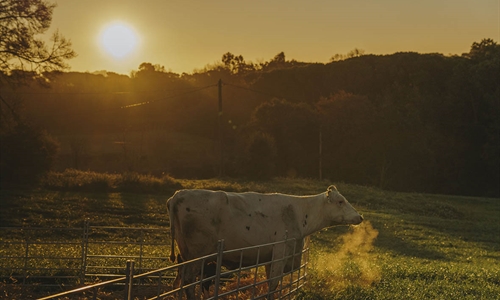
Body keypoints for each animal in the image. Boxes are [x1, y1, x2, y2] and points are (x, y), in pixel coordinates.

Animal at [169, 185, 364, 298]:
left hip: (185, 255)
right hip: (197, 255)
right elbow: (273, 284)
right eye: (340, 201)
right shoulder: (280, 252)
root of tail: (178, 195)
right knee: (188, 282)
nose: (360, 217)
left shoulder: (271, 257)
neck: (298, 212)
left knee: (180, 280)